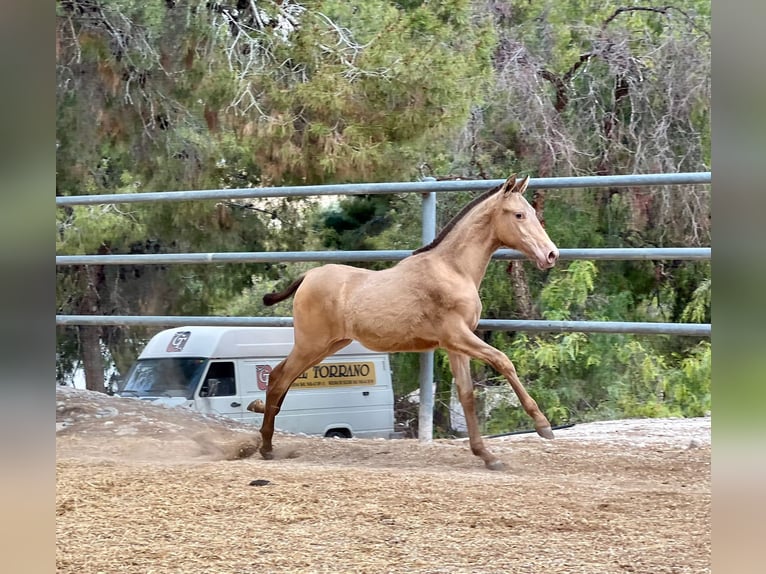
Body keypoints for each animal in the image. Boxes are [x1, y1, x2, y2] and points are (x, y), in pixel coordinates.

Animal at [249, 176, 560, 472]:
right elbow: (503, 361)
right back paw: (266, 447)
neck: (452, 269)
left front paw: (487, 456)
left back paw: (265, 438)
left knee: (280, 378)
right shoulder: (457, 335)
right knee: (278, 379)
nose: (551, 255)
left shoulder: (456, 345)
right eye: (519, 215)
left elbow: (467, 394)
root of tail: (307, 277)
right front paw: (543, 426)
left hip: (327, 346)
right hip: (311, 345)